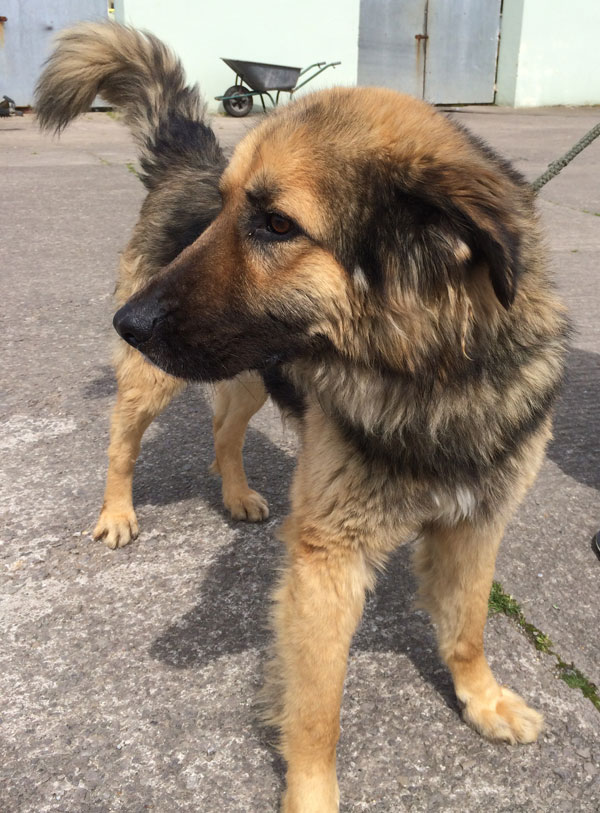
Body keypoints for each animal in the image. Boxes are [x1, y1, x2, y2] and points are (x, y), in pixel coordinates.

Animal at [36, 23, 568, 812]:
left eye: (277, 224)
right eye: (225, 209)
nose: (125, 322)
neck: (430, 376)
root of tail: (187, 160)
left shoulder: (477, 520)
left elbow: (469, 626)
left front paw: (483, 699)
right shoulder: (329, 558)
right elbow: (318, 708)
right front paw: (313, 792)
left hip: (246, 372)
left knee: (224, 430)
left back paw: (236, 494)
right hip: (159, 382)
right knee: (122, 442)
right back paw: (118, 512)